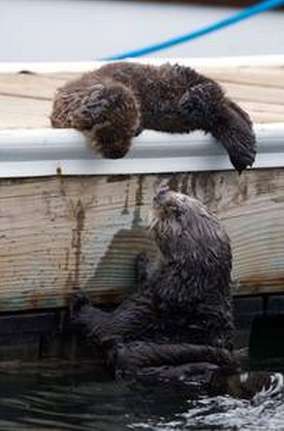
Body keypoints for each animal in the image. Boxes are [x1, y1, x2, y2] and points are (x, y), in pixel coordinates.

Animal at [51, 61, 258, 173]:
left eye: (131, 132)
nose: (117, 155)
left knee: (214, 91)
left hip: (180, 76)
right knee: (223, 110)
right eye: (104, 136)